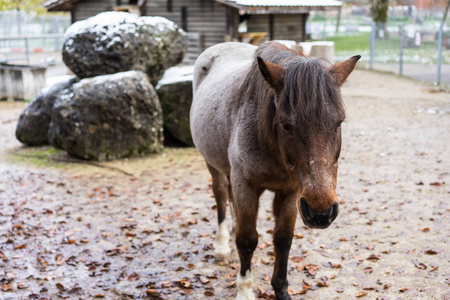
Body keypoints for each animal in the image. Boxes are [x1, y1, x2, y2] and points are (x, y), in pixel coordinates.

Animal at [189, 41, 358, 298]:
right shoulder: (246, 186)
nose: (321, 212)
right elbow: (247, 240)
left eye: (338, 122)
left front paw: (281, 290)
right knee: (220, 195)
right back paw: (222, 247)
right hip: (214, 165)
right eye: (286, 125)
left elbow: (282, 240)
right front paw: (245, 291)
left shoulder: (292, 193)